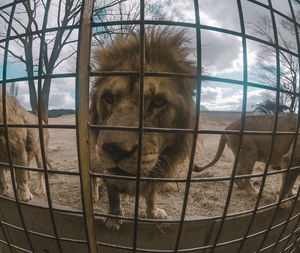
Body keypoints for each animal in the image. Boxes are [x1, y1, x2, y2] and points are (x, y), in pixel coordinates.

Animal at [89, 30, 197, 230]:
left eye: (158, 102)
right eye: (108, 98)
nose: (114, 148)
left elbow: (151, 193)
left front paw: (153, 214)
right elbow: (112, 192)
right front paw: (114, 219)